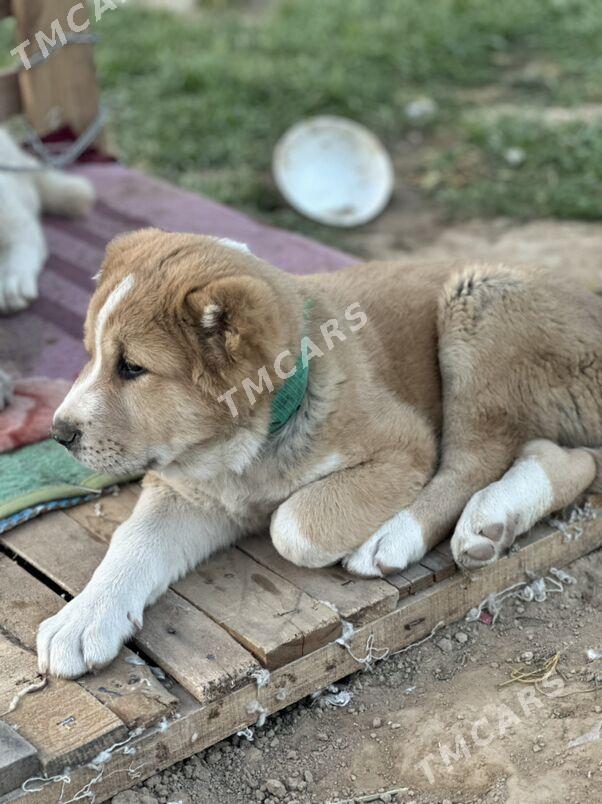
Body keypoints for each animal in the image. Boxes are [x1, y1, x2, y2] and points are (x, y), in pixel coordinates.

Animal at [39, 231, 596, 680]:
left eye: (132, 368)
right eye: (90, 355)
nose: (58, 433)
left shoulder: (404, 445)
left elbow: (292, 525)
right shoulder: (188, 491)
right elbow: (134, 541)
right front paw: (84, 617)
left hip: (479, 303)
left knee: (474, 460)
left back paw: (404, 535)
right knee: (573, 459)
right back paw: (497, 518)